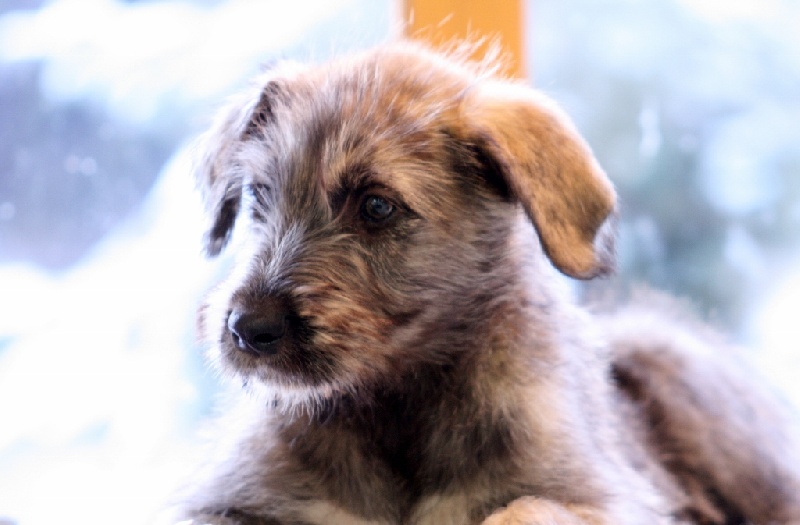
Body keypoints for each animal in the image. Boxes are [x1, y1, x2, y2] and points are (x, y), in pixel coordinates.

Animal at [174, 42, 800, 524]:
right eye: (259, 195)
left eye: (376, 206)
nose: (248, 329)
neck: (398, 410)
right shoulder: (222, 502)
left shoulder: (610, 500)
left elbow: (523, 508)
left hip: (673, 358)